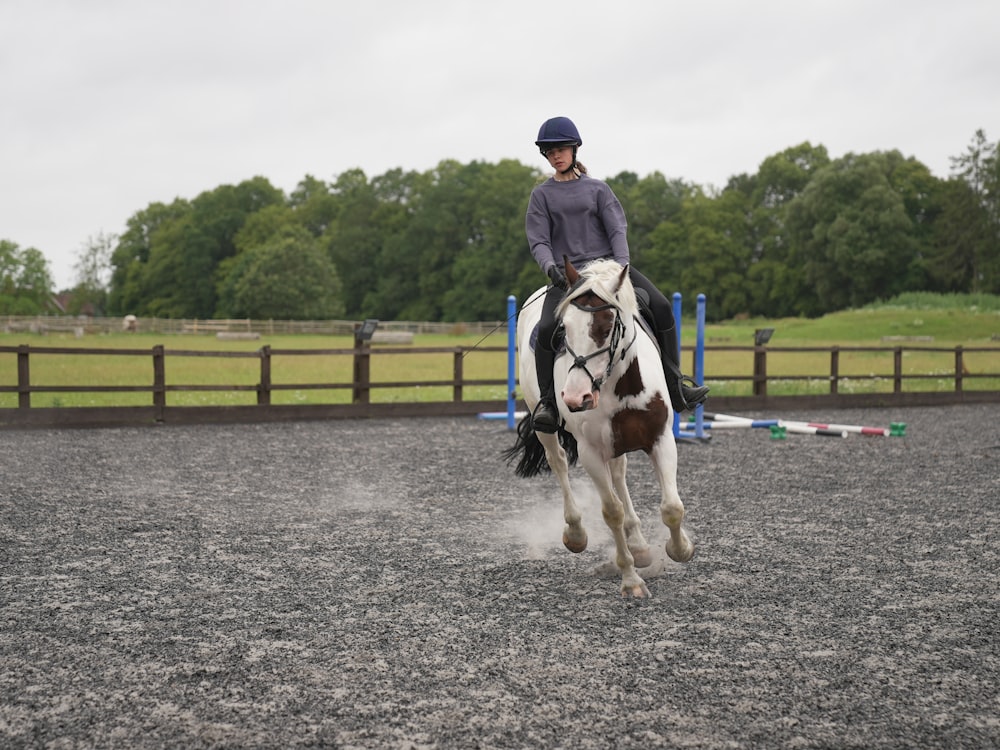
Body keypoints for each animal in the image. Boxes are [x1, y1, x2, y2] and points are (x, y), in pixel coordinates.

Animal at [504, 258, 692, 600]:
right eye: (563, 330)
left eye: (606, 329)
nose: (575, 397)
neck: (622, 384)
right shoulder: (590, 452)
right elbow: (611, 512)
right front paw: (631, 580)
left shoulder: (661, 438)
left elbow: (672, 506)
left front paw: (681, 549)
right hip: (547, 429)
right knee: (559, 463)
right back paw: (577, 532)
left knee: (618, 473)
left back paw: (639, 544)